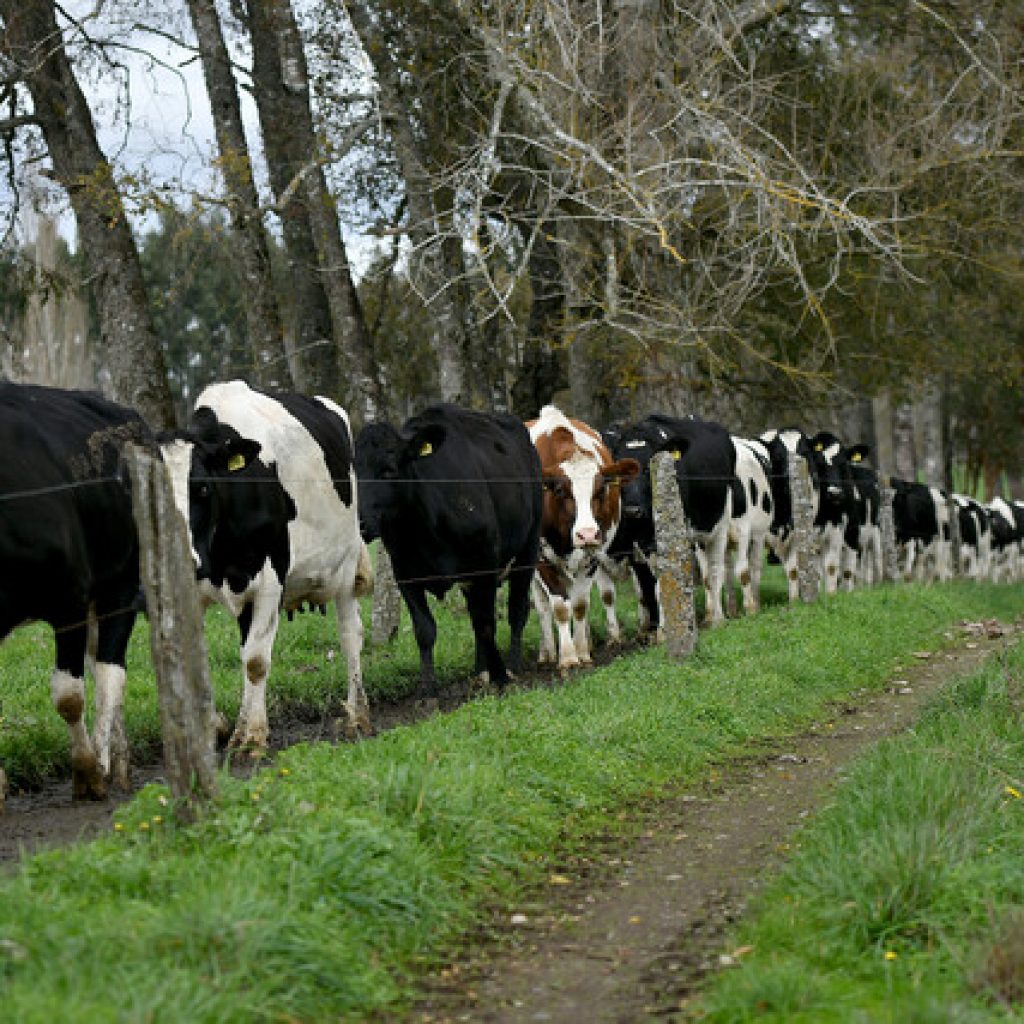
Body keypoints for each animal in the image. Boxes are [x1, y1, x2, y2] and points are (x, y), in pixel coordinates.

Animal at [0, 382, 148, 798]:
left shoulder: (69, 600)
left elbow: (68, 696)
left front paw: (87, 771)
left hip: (122, 582)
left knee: (110, 671)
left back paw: (104, 761)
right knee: (101, 663)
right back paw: (120, 760)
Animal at [163, 380, 376, 749]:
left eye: (202, 488)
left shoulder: (269, 580)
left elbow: (256, 661)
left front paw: (251, 738)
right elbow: (198, 661)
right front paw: (216, 729)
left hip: (346, 566)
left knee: (351, 634)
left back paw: (357, 715)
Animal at [354, 399, 540, 696]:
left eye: (389, 468)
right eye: (352, 470)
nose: (359, 522)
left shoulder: (484, 564)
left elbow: (486, 624)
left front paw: (500, 676)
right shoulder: (405, 573)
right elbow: (425, 630)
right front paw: (428, 689)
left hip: (528, 548)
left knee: (516, 609)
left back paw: (513, 664)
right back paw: (479, 669)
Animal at [528, 407, 638, 671]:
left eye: (601, 490)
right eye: (560, 491)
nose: (587, 533)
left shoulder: (593, 557)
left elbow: (578, 606)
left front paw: (581, 652)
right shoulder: (541, 559)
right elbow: (559, 608)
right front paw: (567, 657)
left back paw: (585, 640)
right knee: (542, 605)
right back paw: (547, 651)